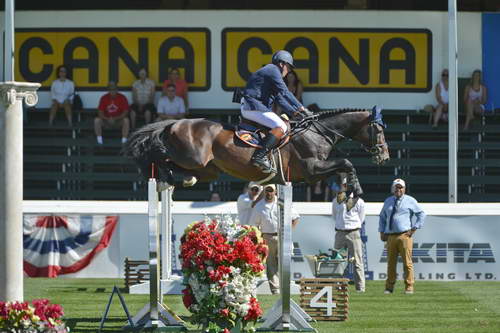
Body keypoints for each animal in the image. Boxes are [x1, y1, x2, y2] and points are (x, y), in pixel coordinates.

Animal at [123, 107, 388, 195]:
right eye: (378, 129)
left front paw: (347, 192)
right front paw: (357, 189)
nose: (384, 156)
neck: (318, 132)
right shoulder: (312, 170)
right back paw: (165, 176)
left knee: (181, 167)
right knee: (160, 155)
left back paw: (179, 179)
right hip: (192, 157)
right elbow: (346, 162)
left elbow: (342, 167)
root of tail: (174, 123)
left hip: (208, 169)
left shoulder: (316, 172)